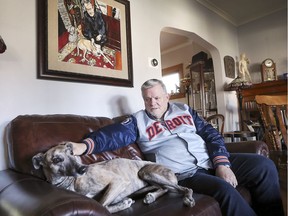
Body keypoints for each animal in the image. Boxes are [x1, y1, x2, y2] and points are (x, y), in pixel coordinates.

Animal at [32, 142, 196, 213]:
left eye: (71, 153)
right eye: (56, 159)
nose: (83, 168)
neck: (71, 182)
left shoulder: (118, 181)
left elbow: (102, 205)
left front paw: (123, 204)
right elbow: (100, 205)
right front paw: (122, 204)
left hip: (146, 172)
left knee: (184, 188)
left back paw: (187, 198)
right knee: (165, 188)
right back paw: (151, 196)